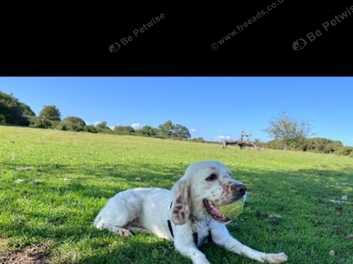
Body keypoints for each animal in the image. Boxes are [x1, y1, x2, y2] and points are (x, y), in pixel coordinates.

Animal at [93, 161, 286, 264]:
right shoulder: (184, 245)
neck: (202, 220)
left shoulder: (225, 239)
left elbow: (246, 248)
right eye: (211, 177)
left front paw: (270, 256)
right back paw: (122, 231)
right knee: (101, 224)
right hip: (127, 208)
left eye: (230, 175)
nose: (243, 189)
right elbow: (199, 254)